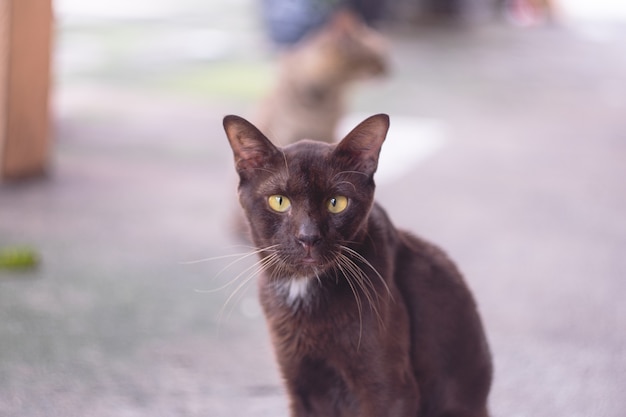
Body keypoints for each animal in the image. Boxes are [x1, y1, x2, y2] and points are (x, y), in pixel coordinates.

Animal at [222, 114, 490, 416]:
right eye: (279, 201)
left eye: (336, 203)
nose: (308, 237)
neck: (303, 290)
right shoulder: (299, 385)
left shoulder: (390, 390)